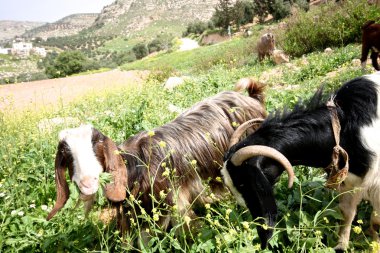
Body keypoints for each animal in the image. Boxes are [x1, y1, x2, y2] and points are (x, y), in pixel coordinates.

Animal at [46, 80, 268, 233]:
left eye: (97, 146)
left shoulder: (176, 203)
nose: (87, 182)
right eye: (67, 155)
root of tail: (251, 97)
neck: (136, 165)